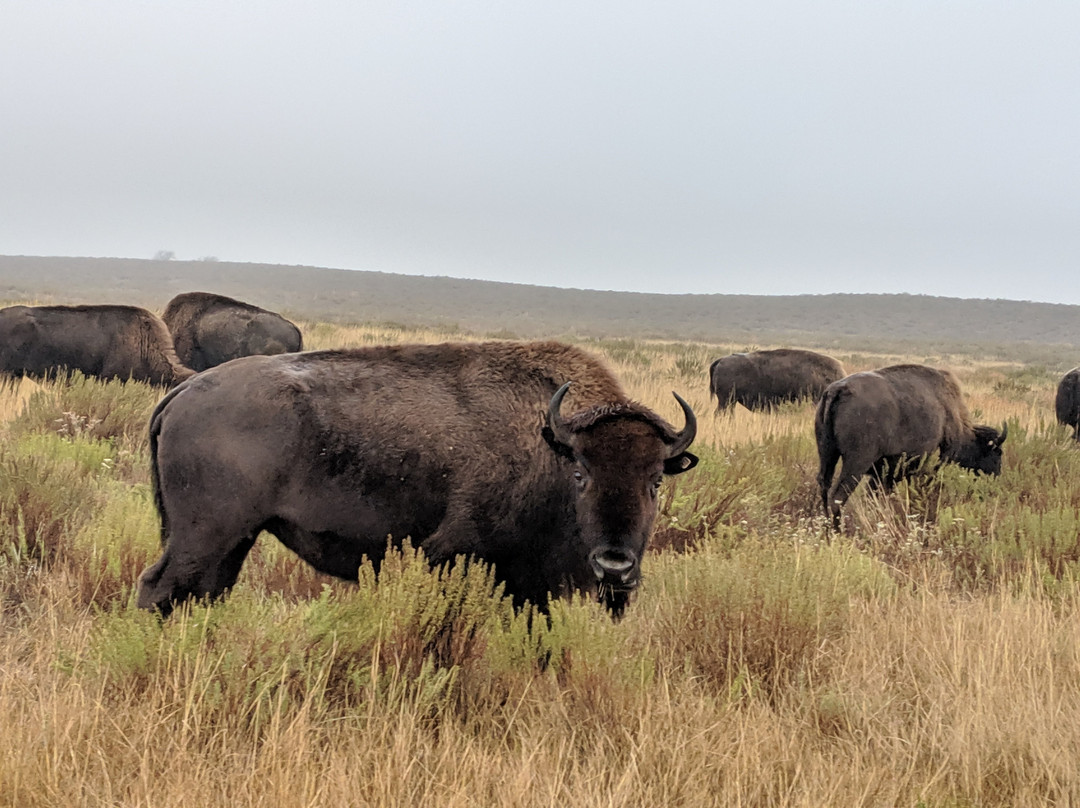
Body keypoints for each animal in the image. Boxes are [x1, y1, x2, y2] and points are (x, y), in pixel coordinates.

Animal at [139, 341, 699, 617]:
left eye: (656, 480)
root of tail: (184, 393)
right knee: (160, 588)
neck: (548, 441)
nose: (615, 566)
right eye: (580, 472)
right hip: (205, 535)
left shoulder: (528, 587)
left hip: (233, 539)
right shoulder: (454, 555)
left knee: (204, 592)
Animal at [812, 362, 1006, 527]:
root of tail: (837, 390)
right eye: (997, 453)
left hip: (827, 454)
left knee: (824, 486)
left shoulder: (884, 474)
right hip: (856, 463)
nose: (996, 477)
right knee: (838, 496)